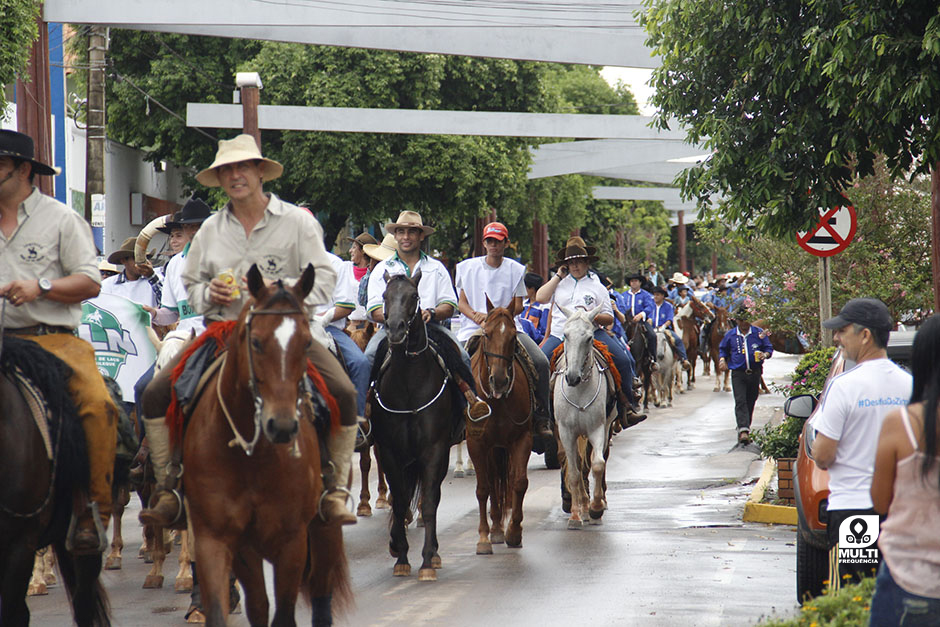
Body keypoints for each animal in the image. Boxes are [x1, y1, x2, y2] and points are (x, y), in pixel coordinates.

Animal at [181, 264, 348, 627]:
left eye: (306, 342)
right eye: (255, 342)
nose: (282, 425)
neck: (252, 458)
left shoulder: (292, 542)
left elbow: (283, 614)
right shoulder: (219, 540)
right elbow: (238, 608)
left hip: (324, 528)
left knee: (322, 593)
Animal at [370, 274, 468, 584]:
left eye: (414, 296)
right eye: (385, 295)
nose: (395, 329)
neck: (409, 384)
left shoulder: (434, 450)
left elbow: (428, 502)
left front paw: (426, 560)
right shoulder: (389, 451)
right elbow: (400, 500)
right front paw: (400, 556)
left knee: (432, 496)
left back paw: (434, 554)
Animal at [466, 304, 532, 556]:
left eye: (513, 337)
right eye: (487, 334)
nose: (501, 381)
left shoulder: (522, 438)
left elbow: (519, 482)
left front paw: (514, 532)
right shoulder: (476, 443)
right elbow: (483, 488)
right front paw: (483, 537)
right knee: (492, 482)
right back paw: (494, 530)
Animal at [556, 304, 612, 528]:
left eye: (589, 338)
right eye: (565, 335)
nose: (572, 377)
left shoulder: (597, 429)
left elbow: (597, 465)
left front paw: (595, 508)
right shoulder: (566, 432)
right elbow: (573, 472)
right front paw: (575, 515)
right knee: (578, 466)